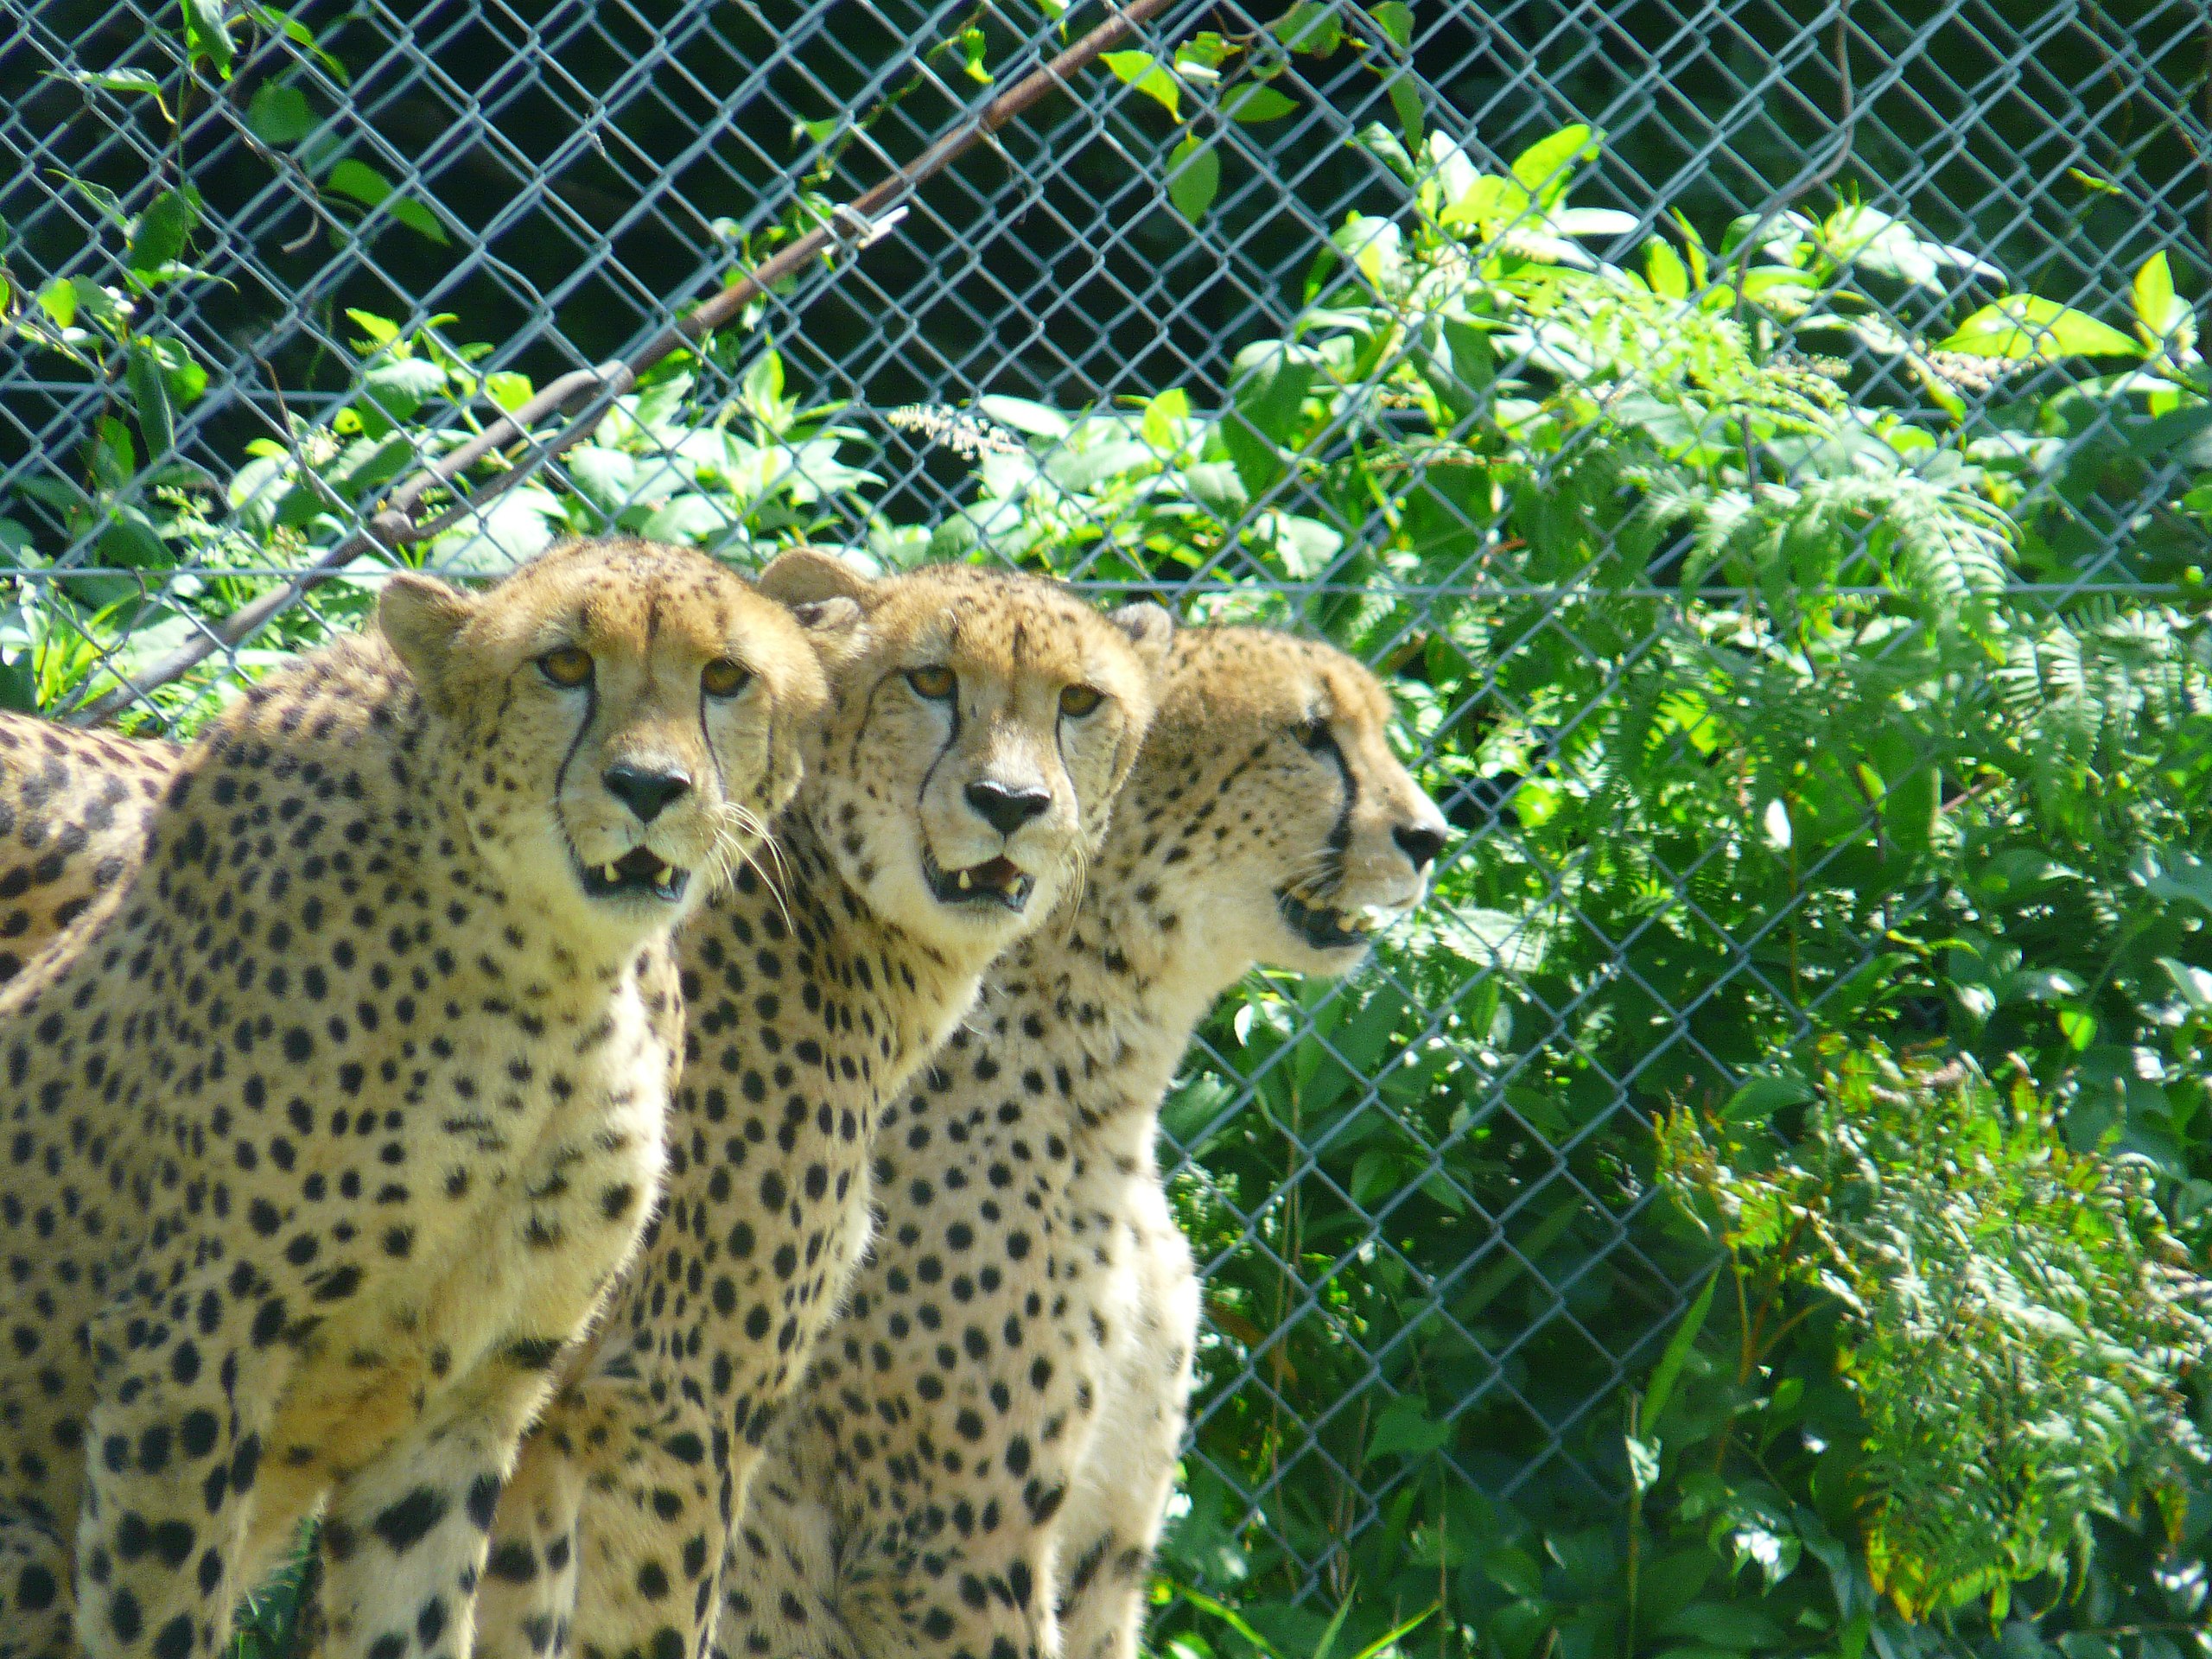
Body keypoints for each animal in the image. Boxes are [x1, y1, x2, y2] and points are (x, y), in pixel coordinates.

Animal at [0, 535, 836, 1659]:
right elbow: (160, 1615)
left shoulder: (474, 1394)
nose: (648, 786)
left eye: (725, 677)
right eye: (563, 666)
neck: (554, 975)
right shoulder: (191, 1341)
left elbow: (412, 1615)